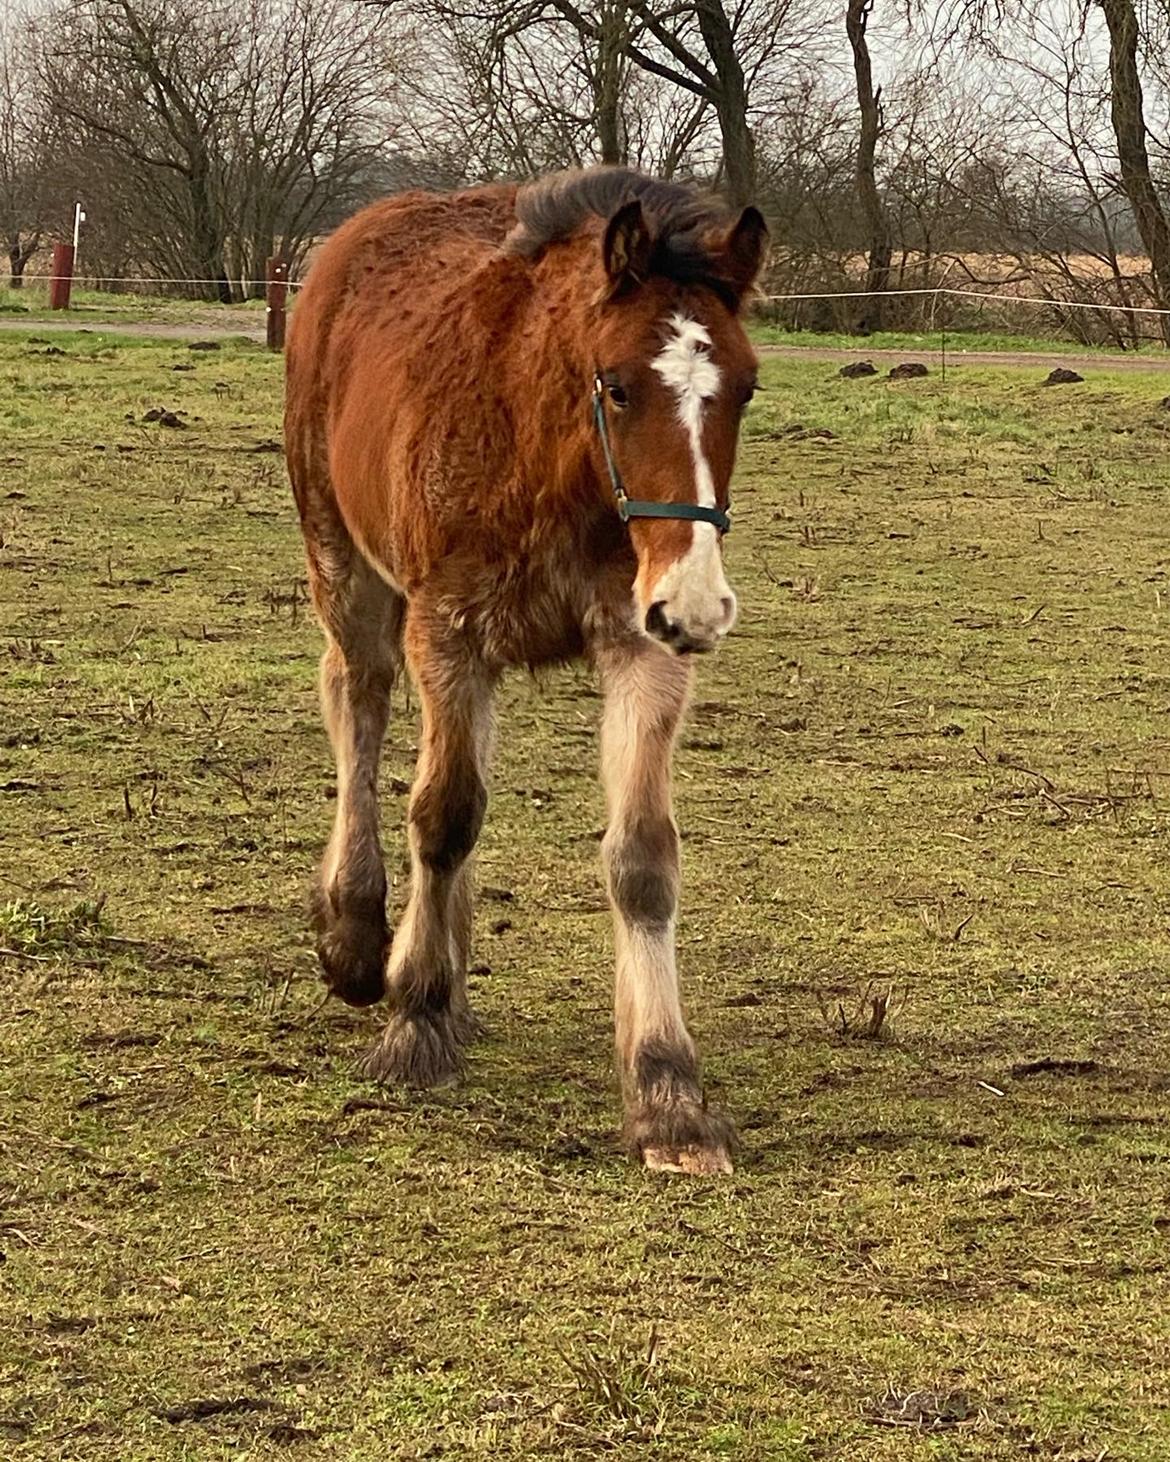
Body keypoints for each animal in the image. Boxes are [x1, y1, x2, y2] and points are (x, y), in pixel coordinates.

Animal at [285, 168, 766, 1175]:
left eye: (746, 387)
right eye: (616, 386)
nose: (700, 603)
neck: (553, 459)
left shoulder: (641, 648)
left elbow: (641, 859)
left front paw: (669, 1094)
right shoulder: (448, 633)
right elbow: (442, 816)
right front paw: (413, 1024)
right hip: (344, 563)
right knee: (358, 705)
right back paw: (359, 938)